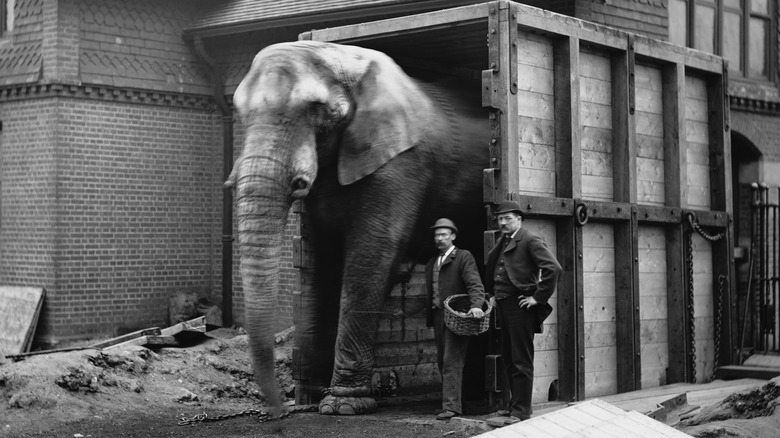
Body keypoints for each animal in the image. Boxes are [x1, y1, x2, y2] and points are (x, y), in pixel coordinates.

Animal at [227, 40, 488, 414]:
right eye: (238, 112)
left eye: (318, 109)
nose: (278, 411)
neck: (346, 59)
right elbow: (323, 263)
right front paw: (316, 400)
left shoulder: (402, 164)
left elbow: (368, 258)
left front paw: (342, 406)